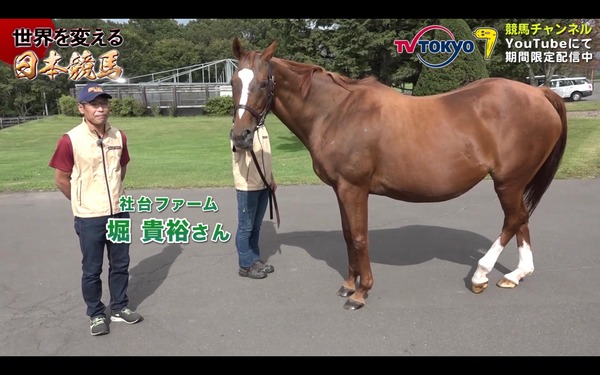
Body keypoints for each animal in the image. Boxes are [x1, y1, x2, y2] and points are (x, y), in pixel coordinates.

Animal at [230, 37, 568, 312]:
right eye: (234, 82)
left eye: (263, 83)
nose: (240, 137)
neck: (336, 112)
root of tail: (539, 93)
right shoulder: (340, 189)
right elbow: (347, 236)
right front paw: (349, 285)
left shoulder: (354, 188)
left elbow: (359, 237)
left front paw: (361, 292)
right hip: (515, 183)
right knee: (521, 219)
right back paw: (515, 275)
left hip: (508, 182)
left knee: (514, 219)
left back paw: (481, 275)